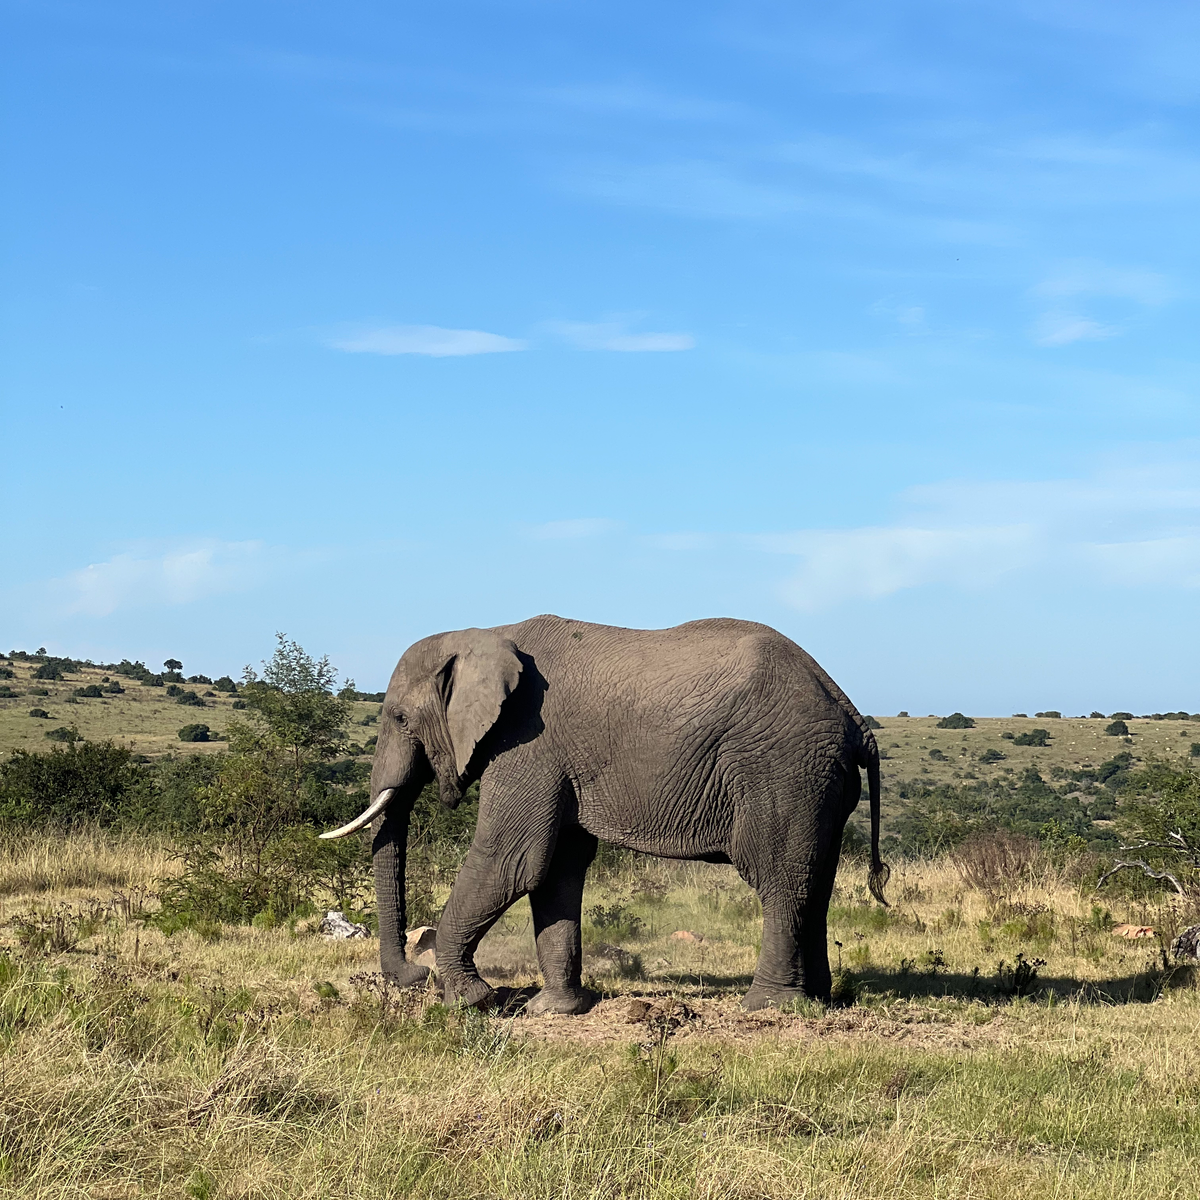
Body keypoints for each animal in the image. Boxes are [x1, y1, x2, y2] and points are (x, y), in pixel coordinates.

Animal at [321, 615, 888, 1013]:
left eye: (399, 717)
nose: (410, 977)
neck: (487, 633)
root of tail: (850, 711)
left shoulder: (529, 743)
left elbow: (511, 861)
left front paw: (472, 1001)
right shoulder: (555, 759)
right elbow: (556, 868)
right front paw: (555, 1010)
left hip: (782, 768)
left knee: (779, 878)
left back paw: (766, 1007)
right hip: (819, 780)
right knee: (816, 881)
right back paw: (820, 1000)